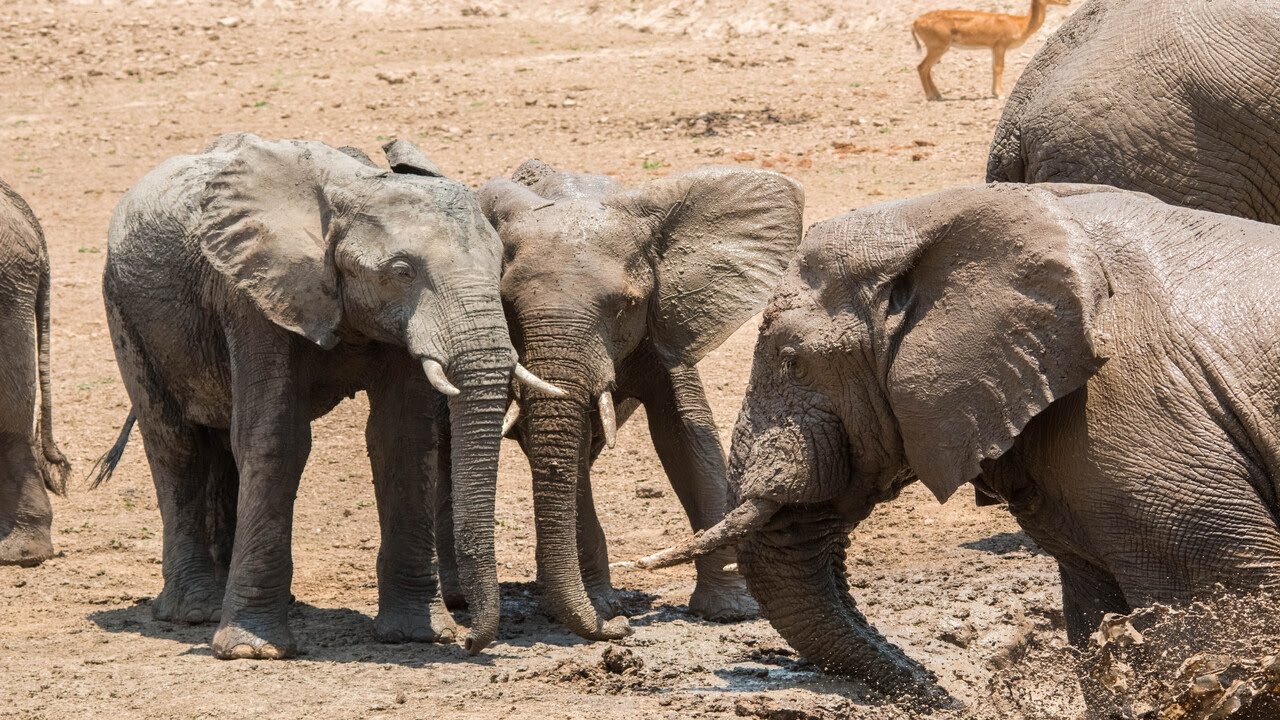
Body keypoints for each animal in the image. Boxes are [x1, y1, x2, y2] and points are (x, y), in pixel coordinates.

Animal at [92, 133, 562, 660]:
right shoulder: (252, 296)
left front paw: (416, 636)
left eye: (499, 265)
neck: (350, 193)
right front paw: (253, 651)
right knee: (176, 444)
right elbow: (275, 439)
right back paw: (194, 611)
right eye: (402, 270)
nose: (468, 641)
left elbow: (402, 440)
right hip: (124, 308)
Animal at [470, 160, 803, 640]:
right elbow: (564, 449)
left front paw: (730, 611)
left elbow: (685, 437)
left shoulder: (671, 317)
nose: (620, 630)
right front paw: (601, 608)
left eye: (626, 305)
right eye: (507, 306)